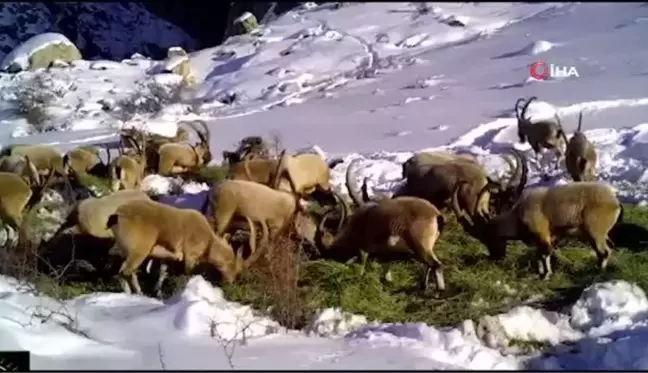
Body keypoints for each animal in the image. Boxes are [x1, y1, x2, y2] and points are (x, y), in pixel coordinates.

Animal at [106, 199, 256, 294]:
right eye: (235, 267)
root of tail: (117, 215)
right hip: (139, 252)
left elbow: (163, 273)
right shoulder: (190, 257)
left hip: (123, 251)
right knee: (124, 272)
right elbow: (187, 275)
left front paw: (158, 293)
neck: (209, 240)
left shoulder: (166, 258)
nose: (231, 283)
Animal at [450, 179, 624, 278]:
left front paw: (546, 275)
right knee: (608, 248)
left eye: (488, 238)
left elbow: (544, 253)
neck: (518, 216)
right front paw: (540, 273)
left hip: (595, 232)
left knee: (604, 251)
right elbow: (539, 255)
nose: (496, 257)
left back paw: (598, 272)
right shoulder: (540, 240)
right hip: (598, 234)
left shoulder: (543, 235)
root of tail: (615, 202)